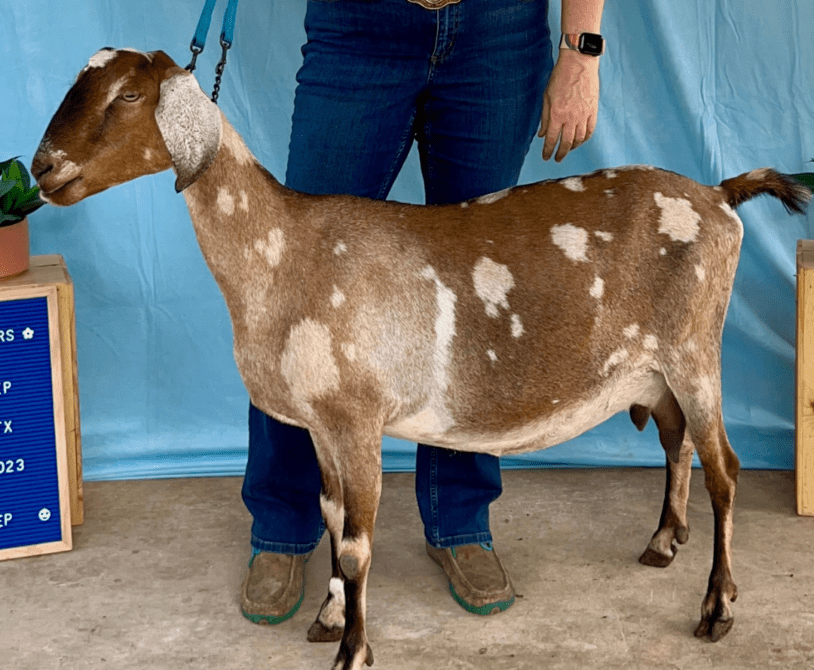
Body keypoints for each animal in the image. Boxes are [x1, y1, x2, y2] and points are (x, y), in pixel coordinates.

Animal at [31, 48, 808, 670]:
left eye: (129, 96)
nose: (41, 168)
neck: (284, 250)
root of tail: (719, 196)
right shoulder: (321, 425)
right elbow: (330, 514)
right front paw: (330, 616)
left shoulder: (357, 417)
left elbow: (357, 543)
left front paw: (354, 650)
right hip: (655, 367)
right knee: (678, 441)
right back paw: (663, 542)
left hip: (695, 350)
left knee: (725, 471)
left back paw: (716, 608)